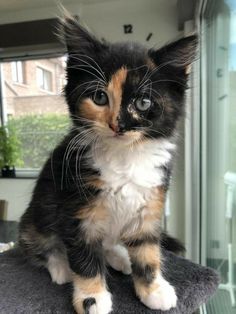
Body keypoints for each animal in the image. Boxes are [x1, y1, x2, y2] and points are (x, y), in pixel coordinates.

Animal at [17, 14, 196, 314]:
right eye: (100, 97)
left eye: (143, 102)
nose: (118, 125)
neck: (125, 156)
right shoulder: (76, 209)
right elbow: (85, 257)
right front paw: (92, 298)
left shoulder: (150, 205)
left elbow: (147, 250)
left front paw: (153, 289)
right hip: (37, 215)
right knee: (39, 244)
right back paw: (60, 266)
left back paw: (119, 256)